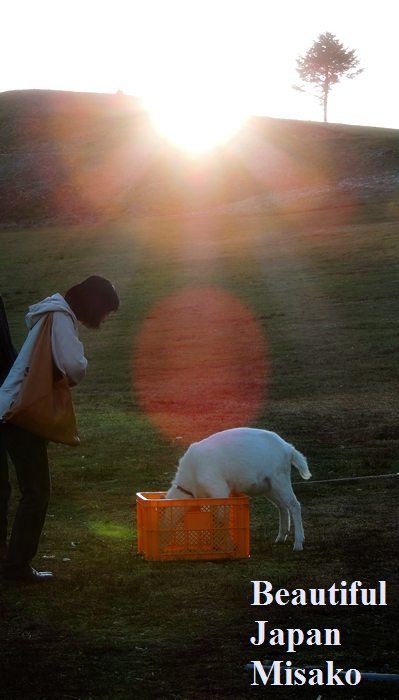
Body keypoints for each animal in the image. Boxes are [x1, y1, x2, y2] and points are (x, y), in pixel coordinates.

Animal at [166, 426, 312, 552]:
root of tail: (289, 448)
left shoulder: (218, 488)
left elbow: (222, 518)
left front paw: (227, 545)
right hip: (269, 486)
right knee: (282, 506)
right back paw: (281, 537)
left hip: (280, 478)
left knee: (294, 505)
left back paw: (298, 543)